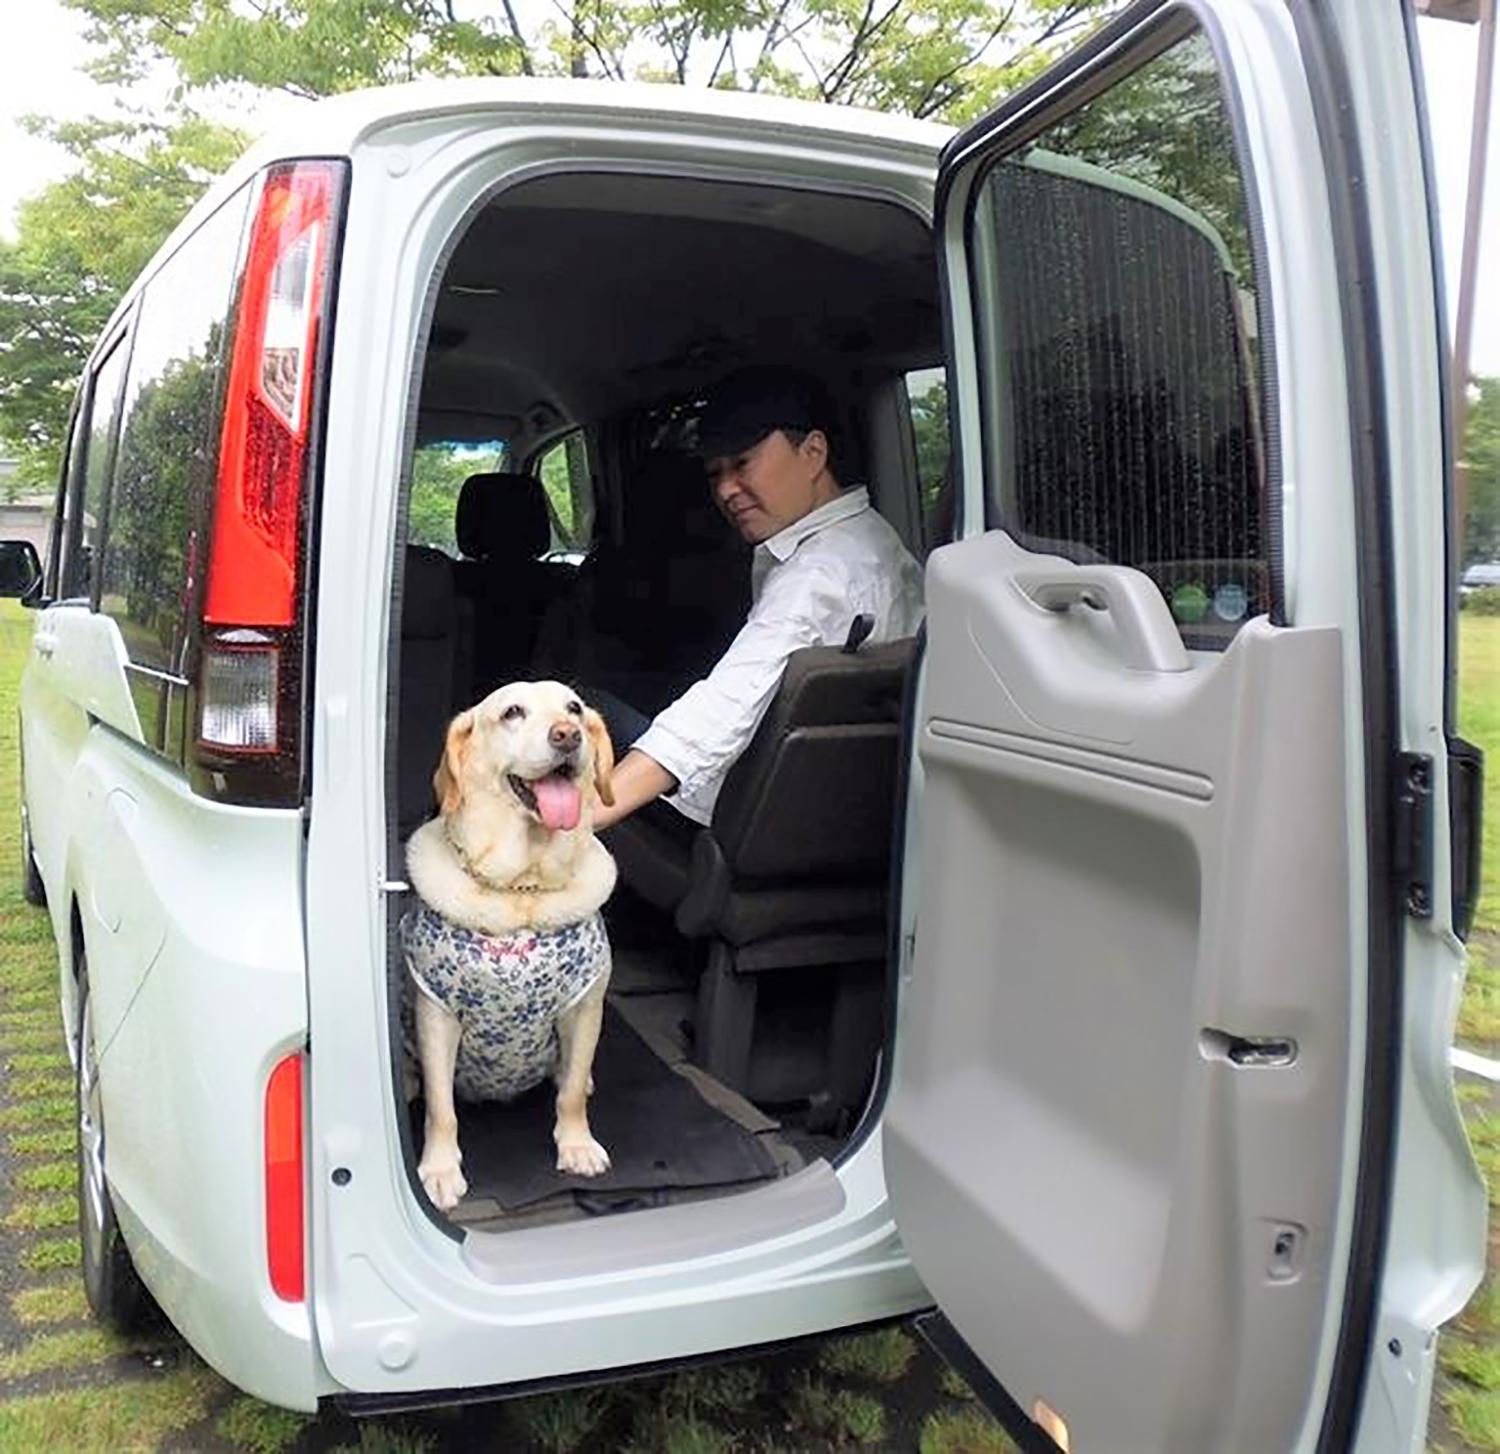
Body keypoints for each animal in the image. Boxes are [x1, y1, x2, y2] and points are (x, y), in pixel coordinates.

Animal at [402, 687, 618, 1206]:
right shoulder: (437, 1016)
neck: (523, 890)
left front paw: (576, 1145)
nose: (567, 735)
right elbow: (441, 1108)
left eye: (574, 708)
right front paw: (440, 1169)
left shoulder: (585, 1008)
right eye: (512, 712)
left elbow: (571, 1093)